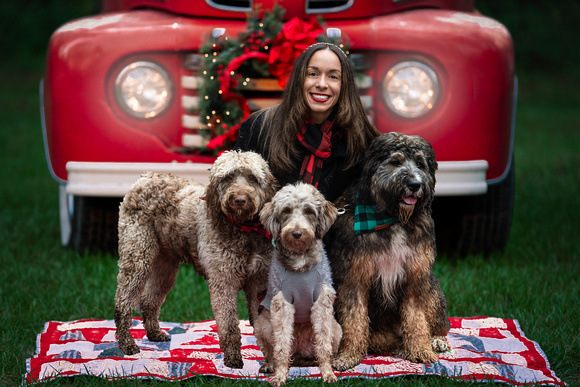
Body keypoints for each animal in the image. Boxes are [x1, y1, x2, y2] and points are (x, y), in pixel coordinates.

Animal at [326, 132, 448, 372]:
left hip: (433, 290)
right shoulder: (353, 278)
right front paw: (348, 354)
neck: (392, 218)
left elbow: (416, 317)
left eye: (420, 164)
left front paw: (420, 349)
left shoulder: (416, 276)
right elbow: (354, 319)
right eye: (395, 162)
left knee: (440, 323)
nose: (415, 184)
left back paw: (435, 339)